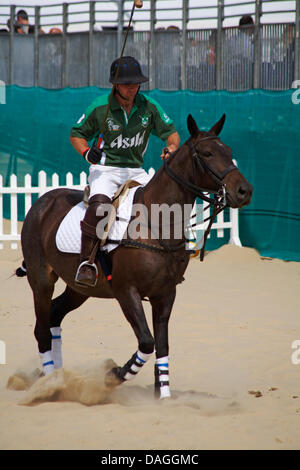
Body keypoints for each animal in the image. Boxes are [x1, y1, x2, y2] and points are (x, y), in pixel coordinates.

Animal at [18, 114, 253, 396]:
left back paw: (59, 378)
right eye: (207, 153)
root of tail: (41, 203)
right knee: (41, 328)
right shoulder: (126, 291)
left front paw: (163, 395)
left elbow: (162, 345)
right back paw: (50, 383)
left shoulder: (165, 293)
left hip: (79, 289)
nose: (244, 191)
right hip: (41, 279)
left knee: (54, 315)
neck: (159, 222)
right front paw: (113, 374)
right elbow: (147, 341)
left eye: (229, 152)